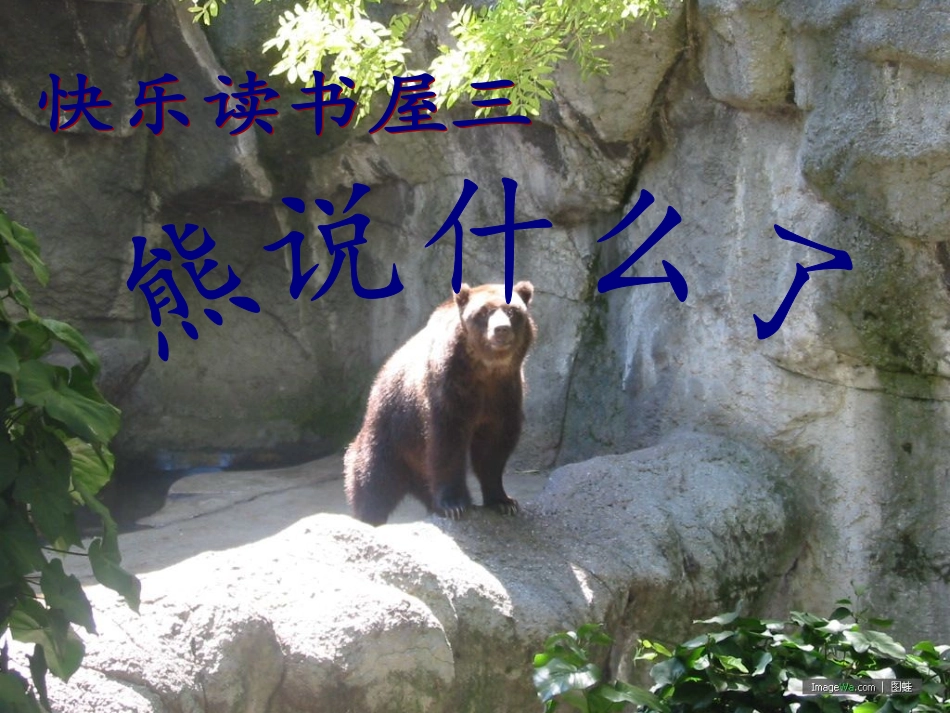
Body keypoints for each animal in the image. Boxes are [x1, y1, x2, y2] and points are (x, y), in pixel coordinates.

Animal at [343, 280, 537, 526]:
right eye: (484, 312)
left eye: (513, 311)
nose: (501, 329)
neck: (485, 372)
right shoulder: (449, 391)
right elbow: (447, 444)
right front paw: (455, 505)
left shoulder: (505, 395)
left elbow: (493, 448)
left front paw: (503, 501)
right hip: (390, 435)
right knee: (373, 482)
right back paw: (368, 519)